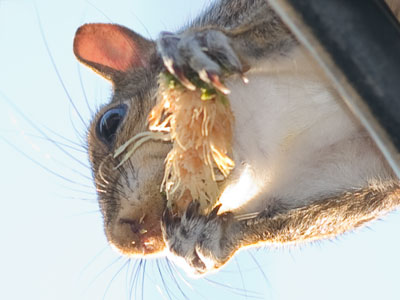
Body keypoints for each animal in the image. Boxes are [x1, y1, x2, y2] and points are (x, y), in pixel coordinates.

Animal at [72, 0, 400, 276]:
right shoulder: (349, 157)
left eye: (109, 122)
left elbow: (265, 29)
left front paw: (205, 49)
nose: (125, 240)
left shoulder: (252, 12)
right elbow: (328, 209)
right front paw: (205, 238)